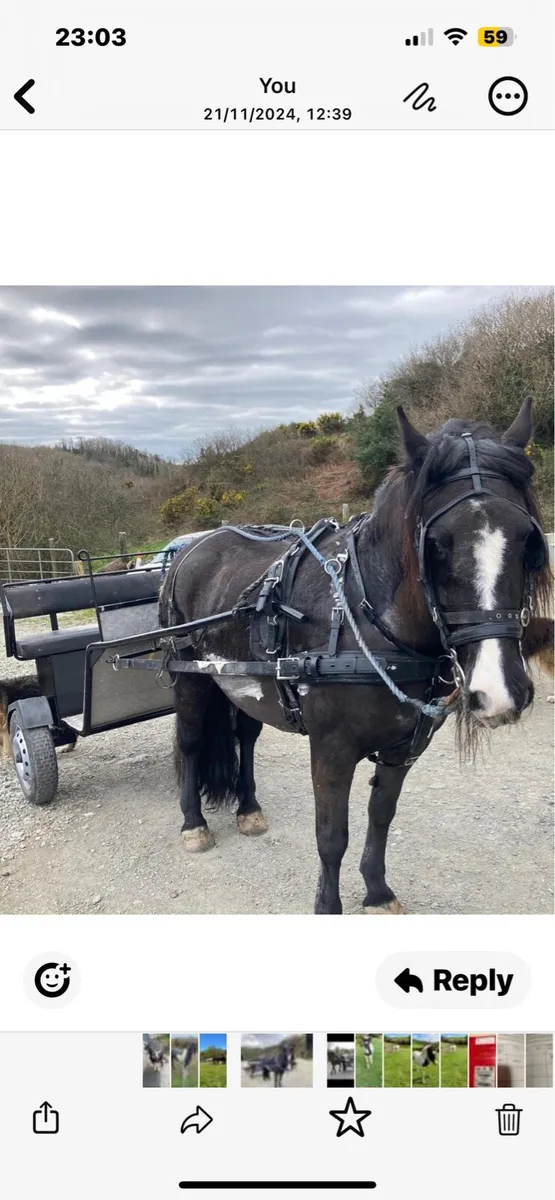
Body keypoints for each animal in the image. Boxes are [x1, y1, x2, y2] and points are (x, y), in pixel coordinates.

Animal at [160, 399, 552, 915]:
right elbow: (331, 836)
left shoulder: (404, 749)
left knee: (245, 737)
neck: (367, 620)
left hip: (244, 685)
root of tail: (194, 546)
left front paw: (377, 891)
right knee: (188, 744)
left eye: (528, 539)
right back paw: (193, 824)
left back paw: (248, 808)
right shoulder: (331, 749)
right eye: (436, 544)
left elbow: (381, 816)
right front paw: (329, 906)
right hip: (191, 677)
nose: (500, 690)